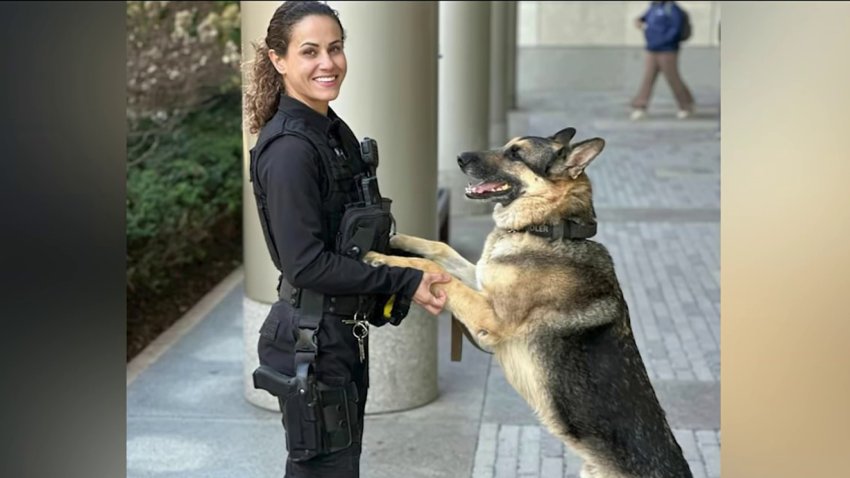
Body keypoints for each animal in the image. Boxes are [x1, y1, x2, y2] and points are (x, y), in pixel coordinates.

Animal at [362, 128, 688, 478]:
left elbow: (437, 271)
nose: (460, 157)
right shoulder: (480, 277)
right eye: (506, 146)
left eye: (516, 155)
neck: (548, 229)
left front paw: (383, 258)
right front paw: (397, 239)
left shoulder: (488, 317)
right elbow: (439, 248)